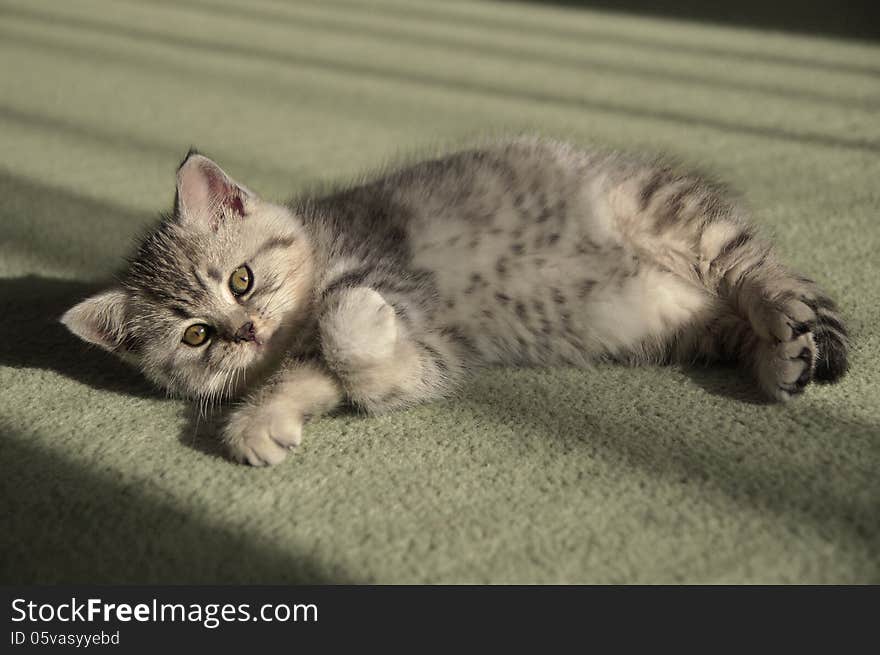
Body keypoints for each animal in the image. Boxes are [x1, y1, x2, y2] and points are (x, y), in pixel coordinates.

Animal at [60, 138, 844, 466]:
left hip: (675, 215)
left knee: (762, 270)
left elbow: (347, 329)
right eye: (196, 336)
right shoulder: (432, 350)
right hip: (680, 325)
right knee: (736, 324)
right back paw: (780, 360)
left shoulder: (404, 290)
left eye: (242, 281)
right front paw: (261, 422)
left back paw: (787, 318)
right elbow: (360, 381)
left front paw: (350, 313)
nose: (245, 329)